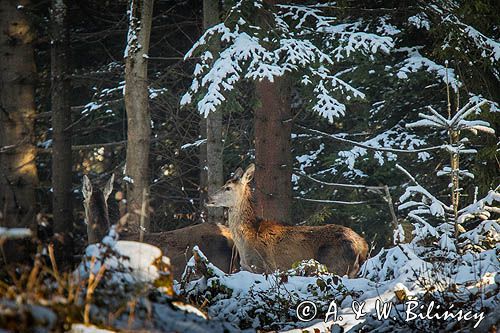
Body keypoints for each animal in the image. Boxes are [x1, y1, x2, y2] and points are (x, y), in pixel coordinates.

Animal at [206, 163, 368, 274]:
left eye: (228, 188)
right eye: (224, 184)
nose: (208, 198)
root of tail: (362, 246)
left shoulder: (261, 266)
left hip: (335, 265)